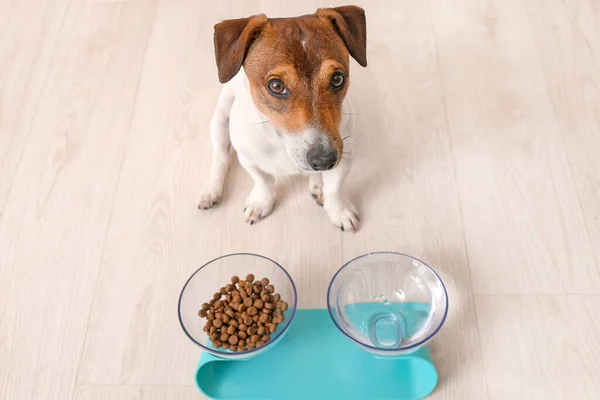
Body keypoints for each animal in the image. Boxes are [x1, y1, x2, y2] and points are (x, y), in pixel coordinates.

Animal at [198, 5, 366, 231]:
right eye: (276, 86)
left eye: (338, 79)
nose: (324, 160)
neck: (282, 144)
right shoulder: (248, 159)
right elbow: (264, 181)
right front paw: (260, 202)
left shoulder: (344, 158)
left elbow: (335, 189)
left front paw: (340, 211)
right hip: (220, 121)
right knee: (221, 157)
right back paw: (211, 190)